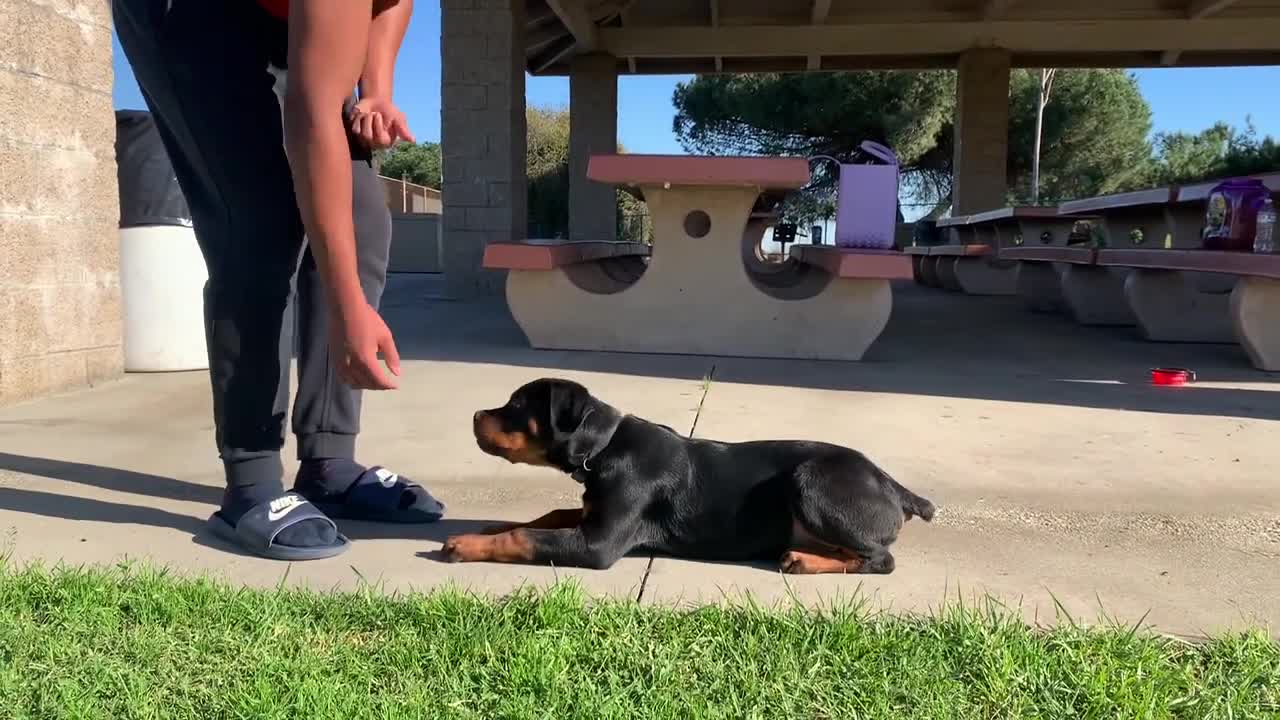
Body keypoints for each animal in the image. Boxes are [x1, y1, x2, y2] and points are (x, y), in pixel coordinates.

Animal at [445, 376, 936, 571]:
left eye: (515, 405)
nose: (473, 416)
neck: (603, 448)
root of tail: (894, 486)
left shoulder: (598, 544)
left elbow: (526, 538)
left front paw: (463, 544)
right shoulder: (592, 515)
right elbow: (543, 518)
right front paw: (491, 526)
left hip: (811, 482)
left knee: (880, 560)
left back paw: (805, 561)